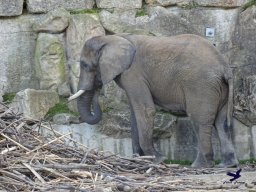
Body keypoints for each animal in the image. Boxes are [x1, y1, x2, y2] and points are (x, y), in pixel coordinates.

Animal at [68, 33, 238, 167]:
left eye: (85, 65)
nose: (98, 88)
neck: (112, 38)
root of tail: (224, 67)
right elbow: (135, 114)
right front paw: (139, 159)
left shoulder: (132, 73)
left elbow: (145, 110)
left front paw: (157, 159)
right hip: (219, 87)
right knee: (221, 121)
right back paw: (227, 165)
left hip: (201, 85)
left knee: (200, 120)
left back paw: (199, 166)